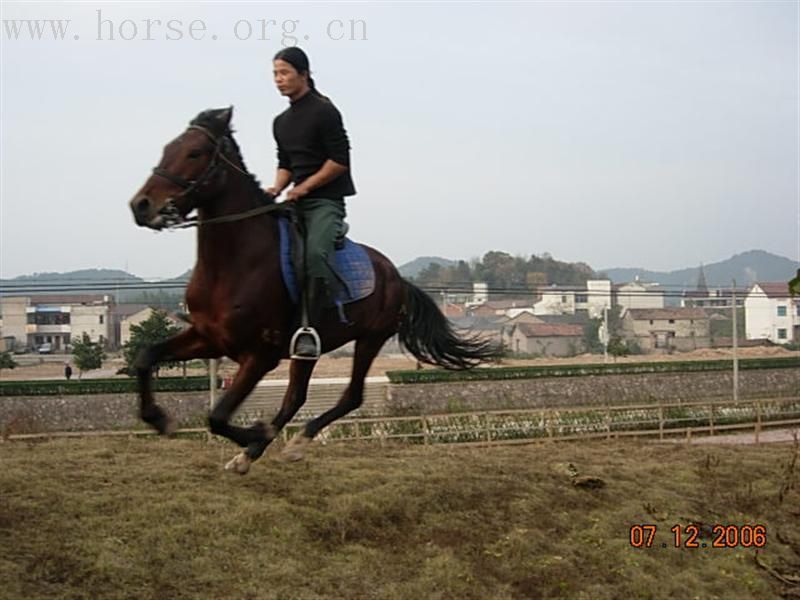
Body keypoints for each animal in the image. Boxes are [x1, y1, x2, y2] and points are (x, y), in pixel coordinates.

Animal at [128, 108, 496, 474]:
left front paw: (255, 433)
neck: (233, 264)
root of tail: (396, 277)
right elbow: (146, 357)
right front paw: (159, 418)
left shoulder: (259, 355)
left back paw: (287, 443)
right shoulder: (209, 337)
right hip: (308, 352)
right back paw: (256, 451)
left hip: (370, 337)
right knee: (296, 398)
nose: (141, 205)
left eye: (195, 153)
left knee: (350, 396)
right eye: (167, 149)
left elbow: (217, 417)